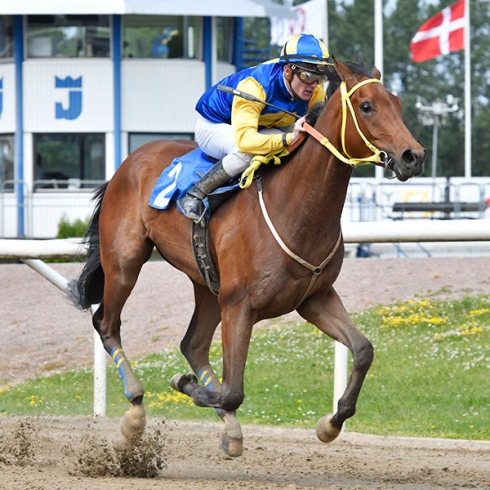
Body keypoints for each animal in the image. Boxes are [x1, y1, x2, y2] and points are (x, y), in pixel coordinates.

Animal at [69, 59, 424, 458]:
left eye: (397, 103)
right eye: (366, 106)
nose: (414, 156)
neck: (295, 208)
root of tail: (128, 162)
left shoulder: (315, 298)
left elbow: (363, 350)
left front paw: (331, 423)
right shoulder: (240, 305)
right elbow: (232, 391)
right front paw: (188, 386)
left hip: (207, 283)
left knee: (193, 343)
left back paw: (229, 427)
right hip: (125, 261)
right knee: (106, 323)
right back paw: (135, 408)